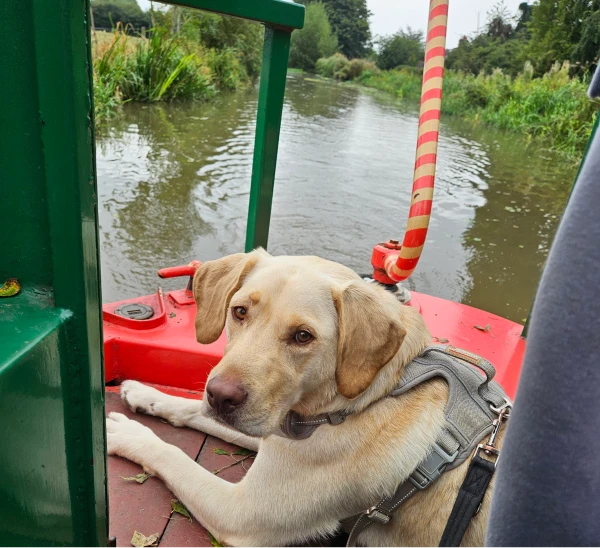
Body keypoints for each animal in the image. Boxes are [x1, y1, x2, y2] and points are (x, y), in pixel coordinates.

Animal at [106, 250, 496, 544]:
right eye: (240, 311)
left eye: (303, 336)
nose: (220, 397)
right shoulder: (275, 434)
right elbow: (190, 410)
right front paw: (146, 394)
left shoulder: (241, 511)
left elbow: (171, 454)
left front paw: (126, 434)